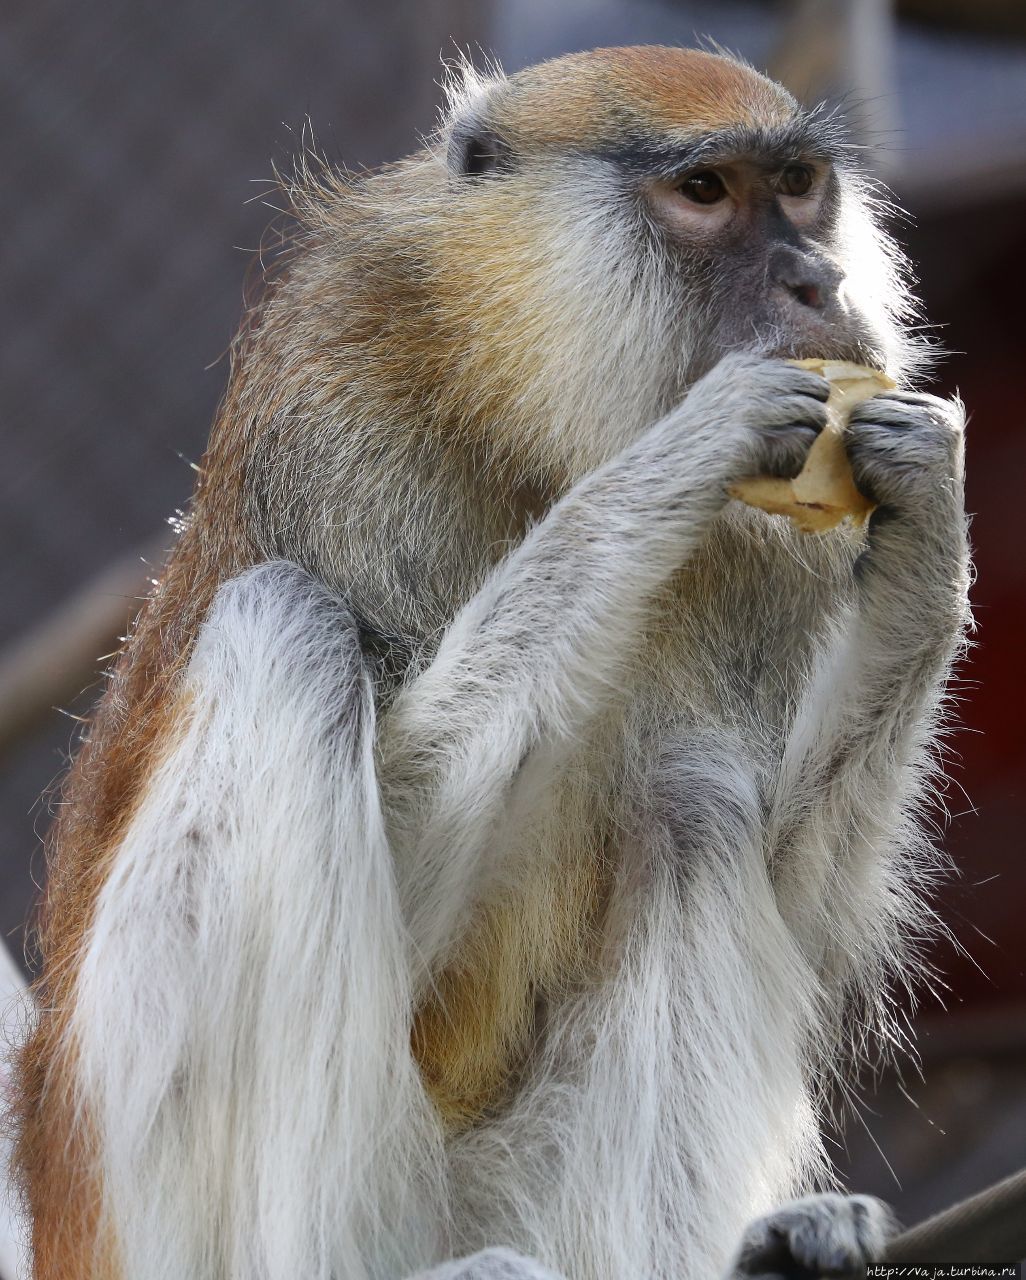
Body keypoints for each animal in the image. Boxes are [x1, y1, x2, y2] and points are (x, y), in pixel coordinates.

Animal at [9, 42, 967, 1280]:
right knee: (283, 628)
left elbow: (799, 893)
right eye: (705, 192)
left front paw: (928, 509)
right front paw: (686, 447)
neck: (524, 405)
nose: (815, 281)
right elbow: (411, 880)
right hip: (144, 1193)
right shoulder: (341, 421)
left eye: (800, 184)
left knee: (691, 802)